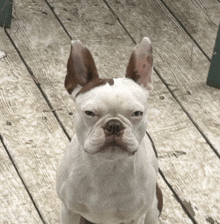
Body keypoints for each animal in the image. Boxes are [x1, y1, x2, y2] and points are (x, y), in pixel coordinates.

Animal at [56, 37, 163, 223]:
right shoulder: (68, 210)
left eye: (137, 113)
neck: (108, 167)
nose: (114, 125)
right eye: (89, 113)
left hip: (153, 208)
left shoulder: (136, 217)